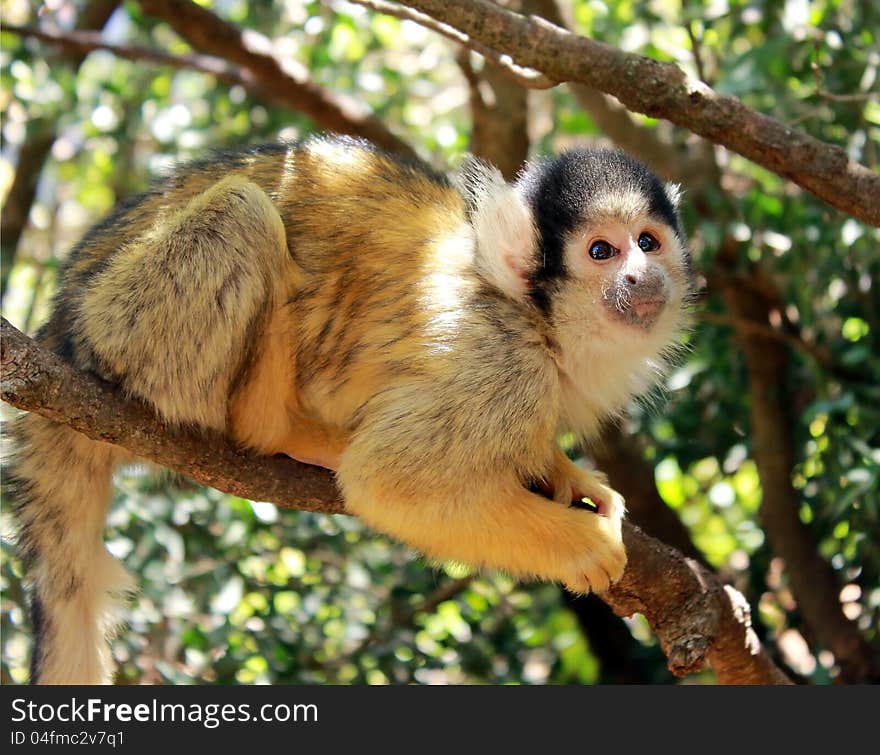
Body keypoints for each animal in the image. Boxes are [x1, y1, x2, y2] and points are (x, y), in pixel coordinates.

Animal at [6, 134, 696, 684]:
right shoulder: (498, 365)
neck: (537, 319)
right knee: (243, 213)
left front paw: (562, 472)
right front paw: (581, 544)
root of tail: (61, 332)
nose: (642, 278)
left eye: (648, 242)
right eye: (602, 252)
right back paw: (276, 427)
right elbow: (387, 483)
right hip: (125, 326)